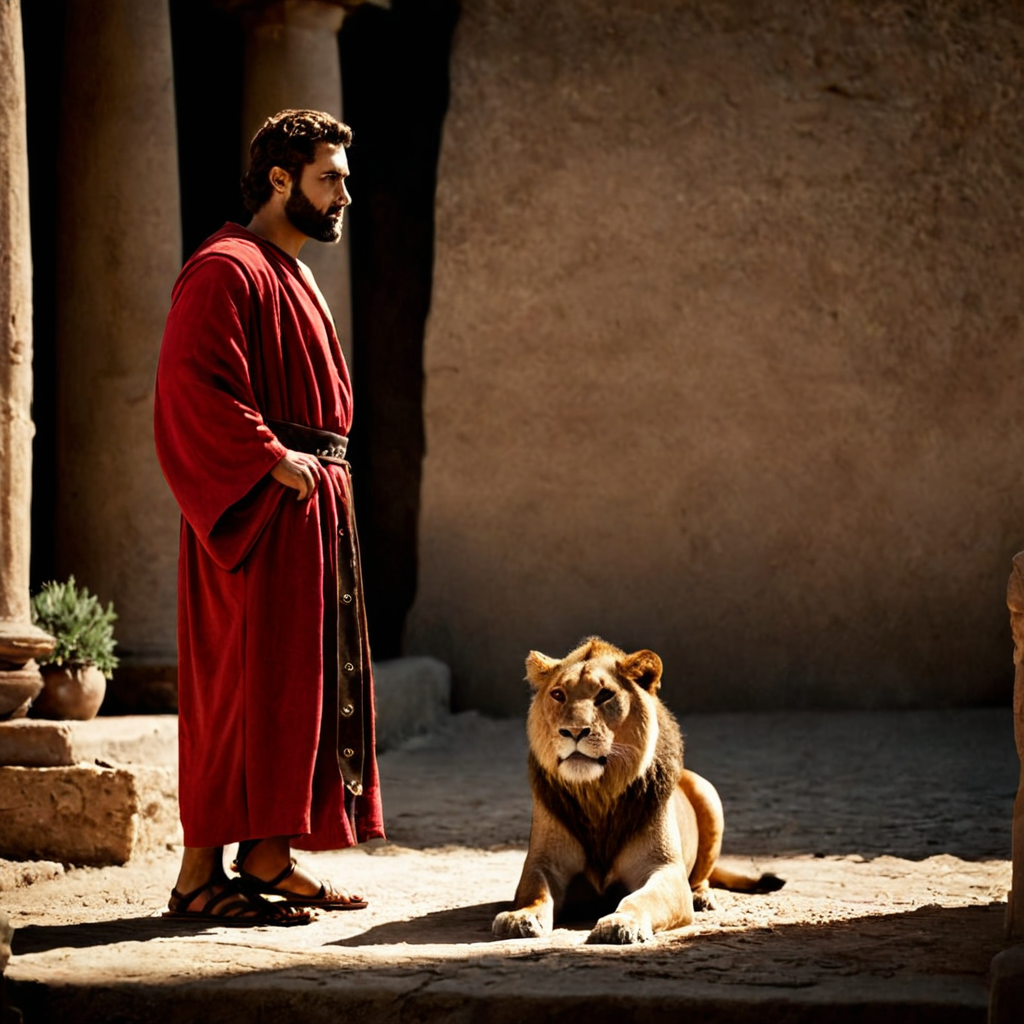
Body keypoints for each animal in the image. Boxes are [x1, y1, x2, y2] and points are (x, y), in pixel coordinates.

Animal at [492, 638, 783, 945]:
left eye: (605, 695)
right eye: (558, 694)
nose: (573, 731)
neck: (598, 794)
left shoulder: (664, 868)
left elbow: (640, 899)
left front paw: (621, 922)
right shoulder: (543, 862)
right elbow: (535, 892)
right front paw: (519, 917)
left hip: (708, 793)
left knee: (702, 875)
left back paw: (702, 897)